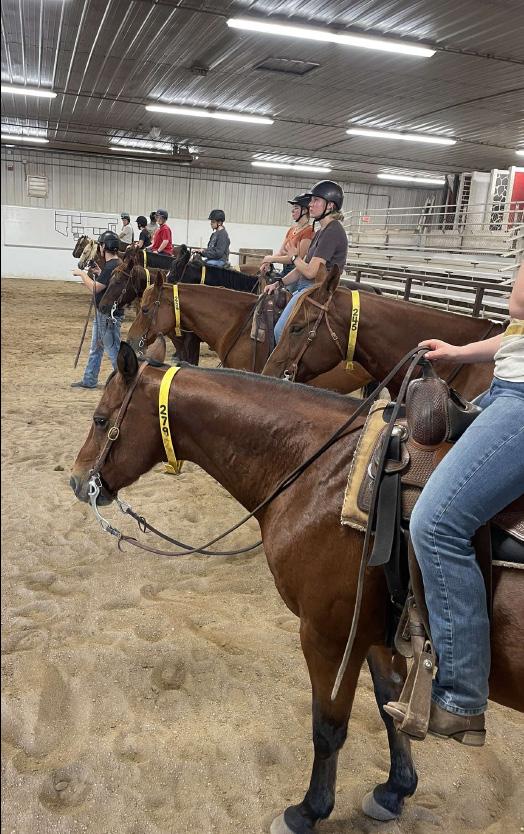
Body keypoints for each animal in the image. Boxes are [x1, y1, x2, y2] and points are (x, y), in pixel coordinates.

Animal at [70, 339, 523, 834]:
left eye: (100, 419)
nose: (77, 479)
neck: (326, 472)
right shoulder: (376, 632)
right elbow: (387, 700)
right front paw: (395, 790)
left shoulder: (328, 636)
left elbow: (328, 727)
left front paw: (308, 811)